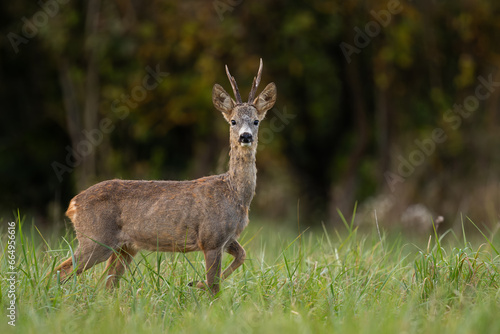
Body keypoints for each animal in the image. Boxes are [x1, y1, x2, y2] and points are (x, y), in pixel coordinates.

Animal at [54, 58, 278, 294]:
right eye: (233, 121)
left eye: (256, 121)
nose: (245, 137)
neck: (234, 194)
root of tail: (73, 204)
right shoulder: (211, 238)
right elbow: (214, 286)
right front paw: (199, 287)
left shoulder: (226, 239)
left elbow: (241, 256)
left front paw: (194, 283)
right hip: (95, 238)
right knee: (62, 270)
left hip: (125, 246)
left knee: (106, 284)